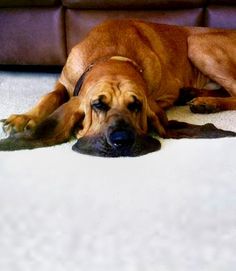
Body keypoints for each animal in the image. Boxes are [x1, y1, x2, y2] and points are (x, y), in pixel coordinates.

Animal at [0, 19, 236, 157]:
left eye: (136, 105)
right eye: (97, 105)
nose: (122, 140)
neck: (113, 55)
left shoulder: (166, 93)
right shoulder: (64, 83)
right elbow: (49, 96)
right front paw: (24, 118)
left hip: (198, 44)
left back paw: (208, 103)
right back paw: (196, 96)